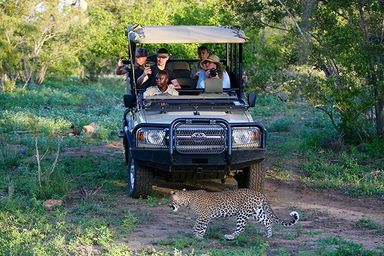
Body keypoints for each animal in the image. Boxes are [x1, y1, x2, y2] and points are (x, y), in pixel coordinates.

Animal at [170, 188, 298, 240]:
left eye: (171, 200)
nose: (169, 205)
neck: (188, 200)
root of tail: (259, 193)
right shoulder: (203, 217)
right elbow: (198, 227)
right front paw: (198, 235)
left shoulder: (204, 216)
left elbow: (198, 226)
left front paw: (198, 236)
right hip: (257, 212)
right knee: (269, 220)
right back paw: (269, 235)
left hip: (242, 213)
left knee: (241, 229)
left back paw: (230, 236)